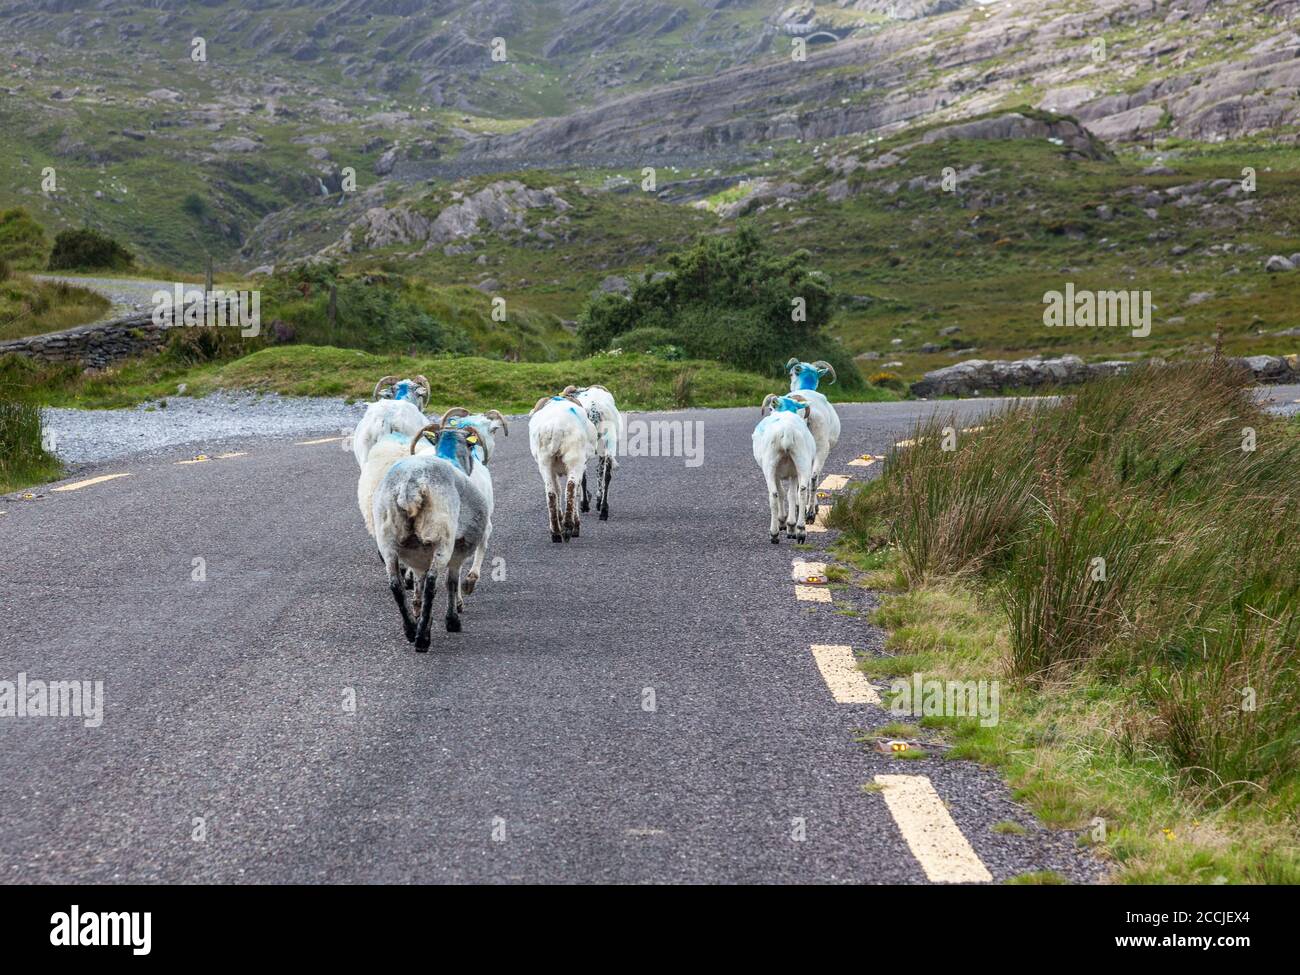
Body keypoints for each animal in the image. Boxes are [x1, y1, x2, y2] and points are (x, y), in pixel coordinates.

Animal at [374, 421, 488, 650]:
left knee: (396, 585)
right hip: (441, 537)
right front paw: (452, 621)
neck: (451, 459)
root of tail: (409, 486)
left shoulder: (418, 557)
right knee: (432, 584)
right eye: (472, 447)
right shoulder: (458, 550)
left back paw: (411, 630)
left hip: (387, 539)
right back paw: (422, 639)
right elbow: (451, 583)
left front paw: (419, 615)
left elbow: (418, 581)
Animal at [525, 387, 595, 543]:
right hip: (575, 457)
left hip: (545, 461)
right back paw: (570, 527)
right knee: (571, 487)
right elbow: (577, 490)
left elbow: (557, 490)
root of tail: (555, 427)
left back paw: (556, 532)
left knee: (551, 493)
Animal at [572, 384, 621, 522]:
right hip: (608, 441)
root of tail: (594, 411)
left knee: (587, 474)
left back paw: (587, 505)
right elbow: (600, 471)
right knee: (607, 475)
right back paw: (603, 510)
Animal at [754, 397, 811, 551]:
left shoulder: (778, 474)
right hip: (802, 462)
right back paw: (801, 531)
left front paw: (784, 523)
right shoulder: (794, 473)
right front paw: (791, 526)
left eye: (770, 408)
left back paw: (774, 534)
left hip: (769, 466)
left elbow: (782, 493)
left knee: (773, 495)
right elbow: (791, 495)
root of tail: (787, 431)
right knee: (802, 492)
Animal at [780, 358, 842, 522]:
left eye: (790, 374)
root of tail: (806, 410)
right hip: (820, 447)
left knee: (810, 478)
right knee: (812, 478)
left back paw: (807, 512)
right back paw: (809, 512)